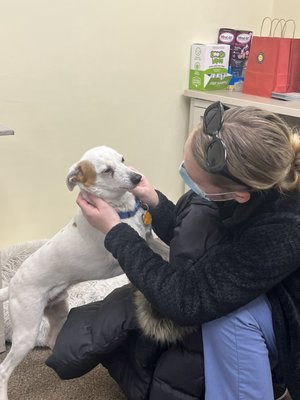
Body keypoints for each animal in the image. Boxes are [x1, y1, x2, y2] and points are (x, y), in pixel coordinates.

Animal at [0, 145, 163, 398]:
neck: (121, 210)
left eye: (122, 159)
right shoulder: (125, 256)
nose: (138, 178)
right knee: (4, 370)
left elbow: (165, 249)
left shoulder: (150, 240)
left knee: (51, 339)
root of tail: (13, 285)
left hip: (58, 312)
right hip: (26, 333)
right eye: (107, 171)